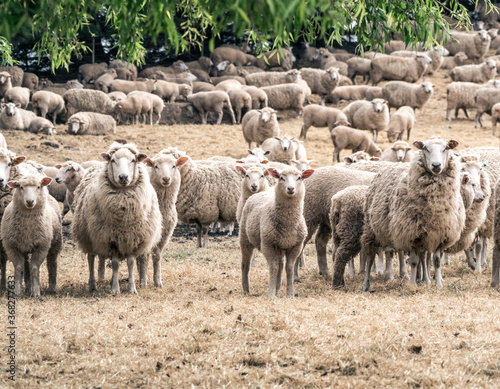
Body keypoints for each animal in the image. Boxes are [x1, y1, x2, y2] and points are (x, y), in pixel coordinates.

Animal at [71, 142, 161, 292]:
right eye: (113, 160)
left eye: (133, 160)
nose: (123, 177)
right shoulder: (110, 239)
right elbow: (114, 264)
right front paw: (115, 289)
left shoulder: (132, 238)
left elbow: (131, 263)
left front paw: (132, 288)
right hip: (89, 237)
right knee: (91, 259)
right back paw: (93, 285)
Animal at [240, 165, 314, 296]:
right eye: (281, 178)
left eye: (299, 178)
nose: (291, 188)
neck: (288, 223)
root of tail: (260, 193)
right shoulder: (268, 244)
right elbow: (273, 267)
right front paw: (271, 293)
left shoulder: (296, 246)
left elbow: (289, 268)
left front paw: (290, 293)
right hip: (245, 238)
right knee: (245, 264)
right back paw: (246, 289)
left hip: (280, 245)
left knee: (281, 264)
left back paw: (278, 287)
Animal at [360, 138, 464, 290]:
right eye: (425, 148)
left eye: (446, 148)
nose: (436, 165)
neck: (435, 206)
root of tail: (391, 165)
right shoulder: (411, 234)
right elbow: (414, 261)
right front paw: (413, 284)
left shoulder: (440, 234)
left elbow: (436, 261)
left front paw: (438, 284)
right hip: (371, 230)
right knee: (370, 256)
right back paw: (366, 284)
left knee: (422, 256)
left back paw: (425, 280)